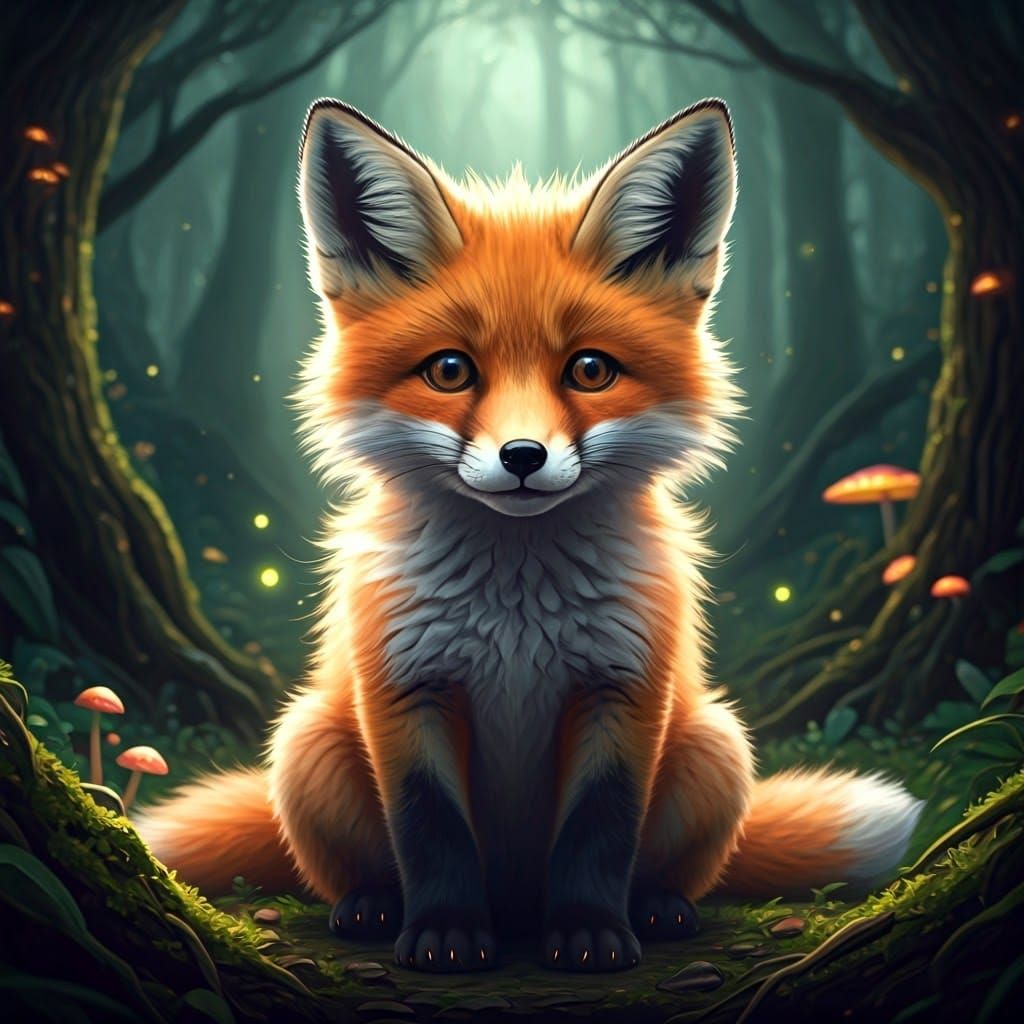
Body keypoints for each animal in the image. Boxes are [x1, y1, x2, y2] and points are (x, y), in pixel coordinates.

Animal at [137, 98, 923, 973]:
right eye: (450, 370)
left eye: (590, 369)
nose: (522, 457)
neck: (514, 608)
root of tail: (515, 899)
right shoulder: (405, 688)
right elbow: (431, 828)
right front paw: (446, 935)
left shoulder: (624, 688)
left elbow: (599, 830)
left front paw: (588, 934)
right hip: (305, 739)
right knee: (351, 865)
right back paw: (371, 906)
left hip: (717, 744)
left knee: (676, 865)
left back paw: (659, 908)